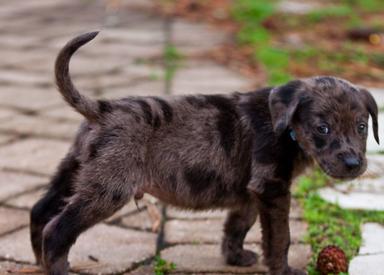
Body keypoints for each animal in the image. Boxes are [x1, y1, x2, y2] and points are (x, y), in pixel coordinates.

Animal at [29, 32, 378, 275]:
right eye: (323, 128)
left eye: (362, 127)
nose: (353, 164)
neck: (286, 126)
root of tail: (102, 109)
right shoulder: (273, 189)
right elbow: (280, 236)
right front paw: (283, 269)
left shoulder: (250, 194)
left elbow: (238, 226)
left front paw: (236, 258)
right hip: (108, 189)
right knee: (57, 229)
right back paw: (58, 267)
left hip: (74, 171)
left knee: (39, 211)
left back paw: (39, 261)